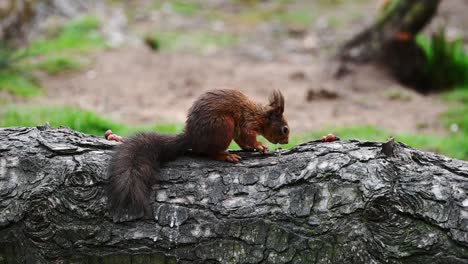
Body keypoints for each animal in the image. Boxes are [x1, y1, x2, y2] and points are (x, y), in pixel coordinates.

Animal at [106, 88, 288, 217]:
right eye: (284, 129)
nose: (286, 141)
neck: (260, 115)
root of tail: (192, 138)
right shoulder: (247, 123)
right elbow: (247, 136)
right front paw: (259, 145)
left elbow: (243, 141)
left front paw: (253, 148)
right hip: (223, 126)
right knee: (209, 153)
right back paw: (226, 155)